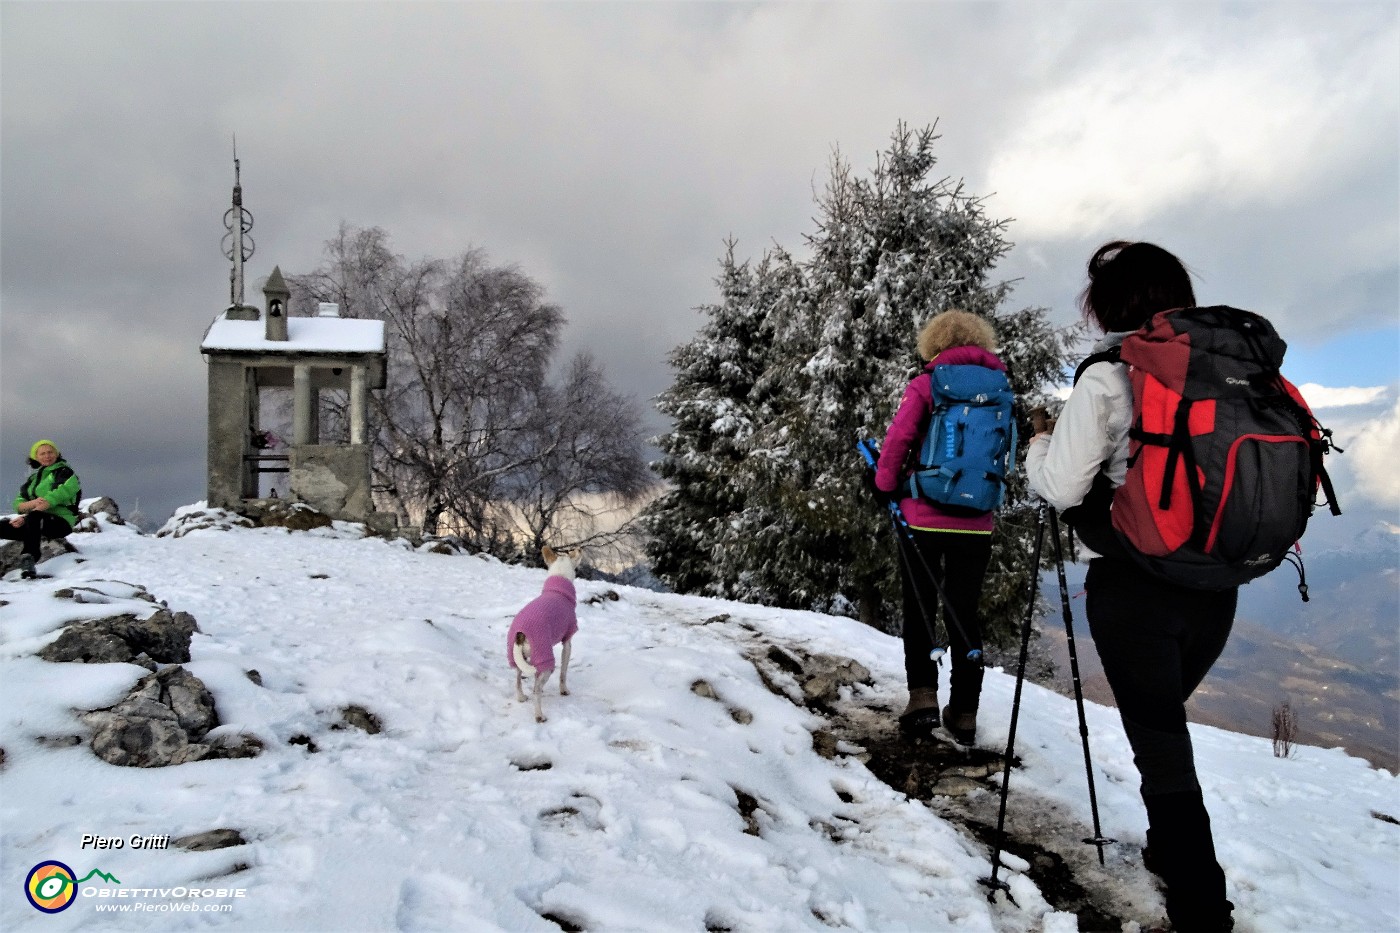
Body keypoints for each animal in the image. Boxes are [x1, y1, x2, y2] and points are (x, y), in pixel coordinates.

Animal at [509, 546, 579, 717]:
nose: (579, 549)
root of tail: (520, 634)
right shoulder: (567, 641)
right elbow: (563, 673)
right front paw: (564, 690)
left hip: (518, 658)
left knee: (518, 680)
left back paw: (521, 697)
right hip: (545, 661)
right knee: (536, 689)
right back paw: (539, 715)